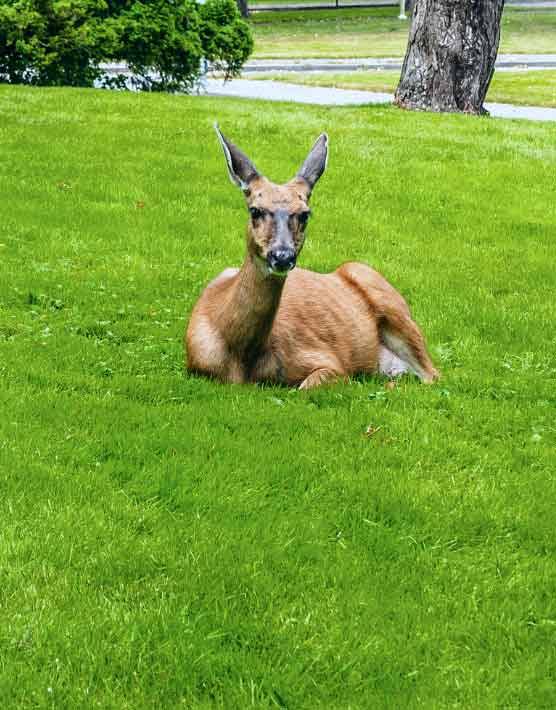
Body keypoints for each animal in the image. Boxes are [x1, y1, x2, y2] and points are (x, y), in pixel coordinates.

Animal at [185, 126, 439, 390]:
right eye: (254, 210)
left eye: (305, 214)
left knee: (432, 375)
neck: (241, 360)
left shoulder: (329, 361)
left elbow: (306, 386)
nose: (282, 256)